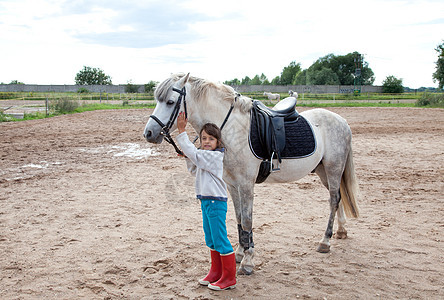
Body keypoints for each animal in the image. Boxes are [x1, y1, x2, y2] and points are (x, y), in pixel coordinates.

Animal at [144, 72, 360, 274]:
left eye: (170, 102)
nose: (148, 133)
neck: (230, 129)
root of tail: (342, 121)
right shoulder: (232, 185)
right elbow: (239, 218)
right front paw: (240, 253)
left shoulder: (246, 184)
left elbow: (247, 221)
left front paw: (248, 262)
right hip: (324, 171)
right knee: (338, 197)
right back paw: (341, 231)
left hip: (333, 168)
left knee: (333, 199)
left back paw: (325, 241)